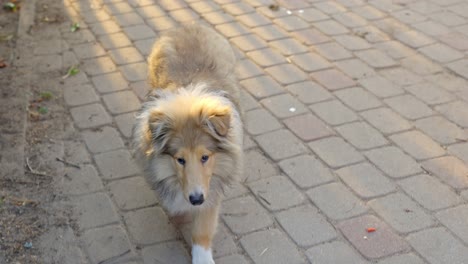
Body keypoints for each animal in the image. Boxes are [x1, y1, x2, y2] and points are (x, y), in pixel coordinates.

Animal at [131, 24, 241, 264]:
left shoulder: (211, 189)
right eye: (179, 159)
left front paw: (202, 258)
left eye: (205, 157)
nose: (196, 199)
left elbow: (203, 229)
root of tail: (189, 25)